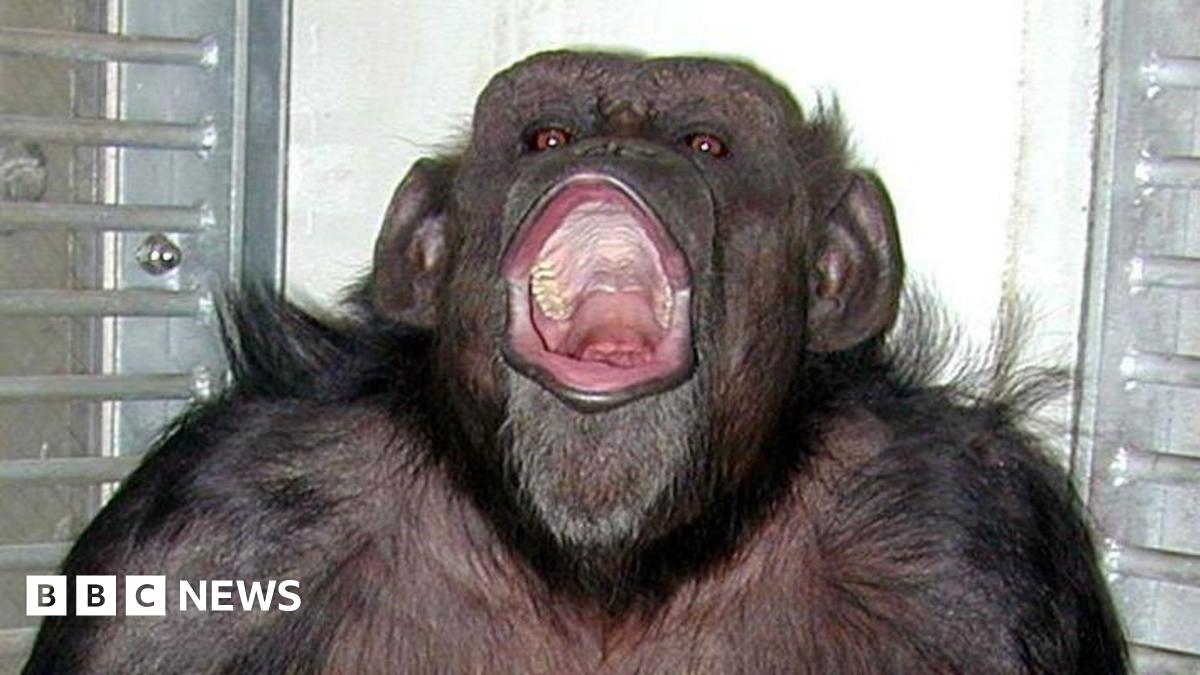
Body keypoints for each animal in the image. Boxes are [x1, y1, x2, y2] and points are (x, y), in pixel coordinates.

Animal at [24, 50, 1126, 674]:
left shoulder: (972, 554)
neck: (602, 575)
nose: (617, 145)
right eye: (546, 133)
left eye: (707, 144)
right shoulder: (210, 530)